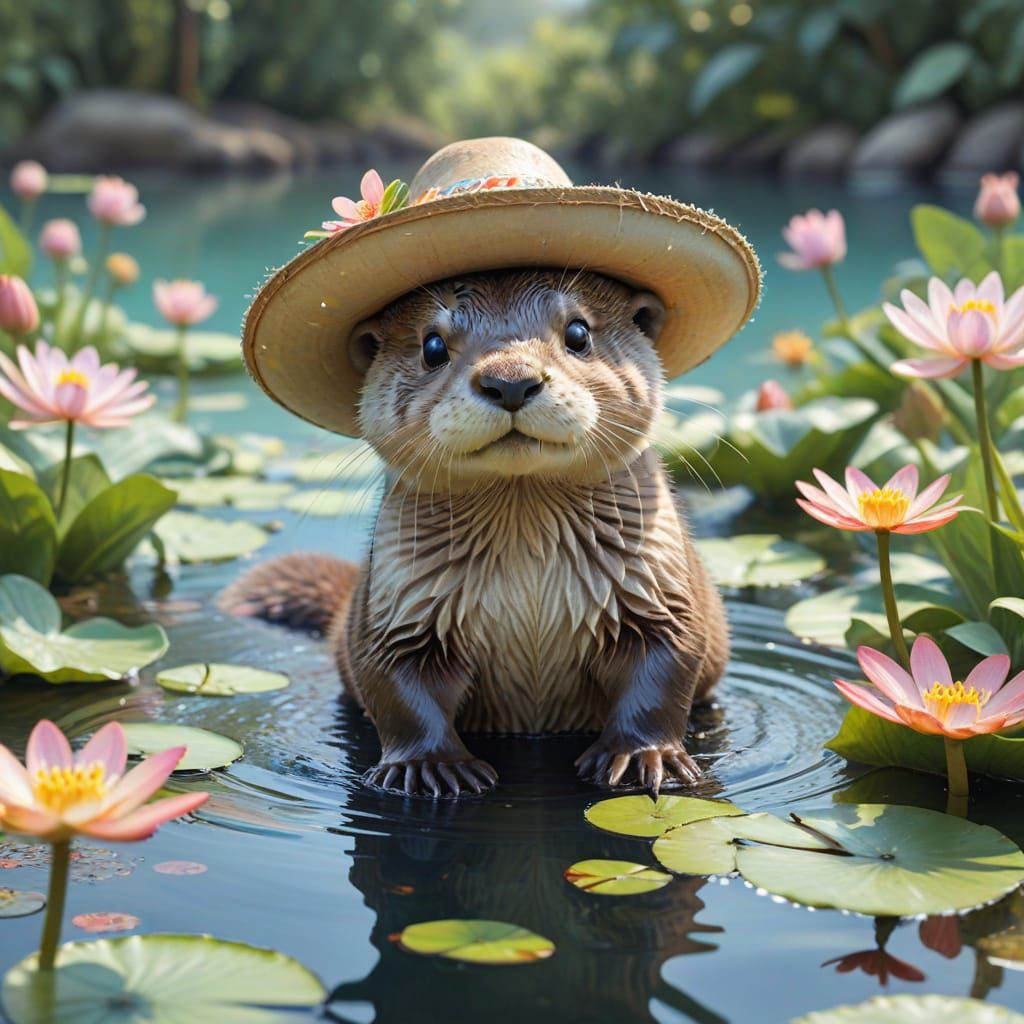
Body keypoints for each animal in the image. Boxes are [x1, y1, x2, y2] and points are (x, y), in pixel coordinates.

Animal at [221, 268, 729, 798]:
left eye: (578, 333)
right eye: (432, 345)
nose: (510, 381)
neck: (529, 583)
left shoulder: (656, 593)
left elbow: (662, 672)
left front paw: (642, 756)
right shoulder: (399, 608)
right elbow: (398, 688)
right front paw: (429, 766)